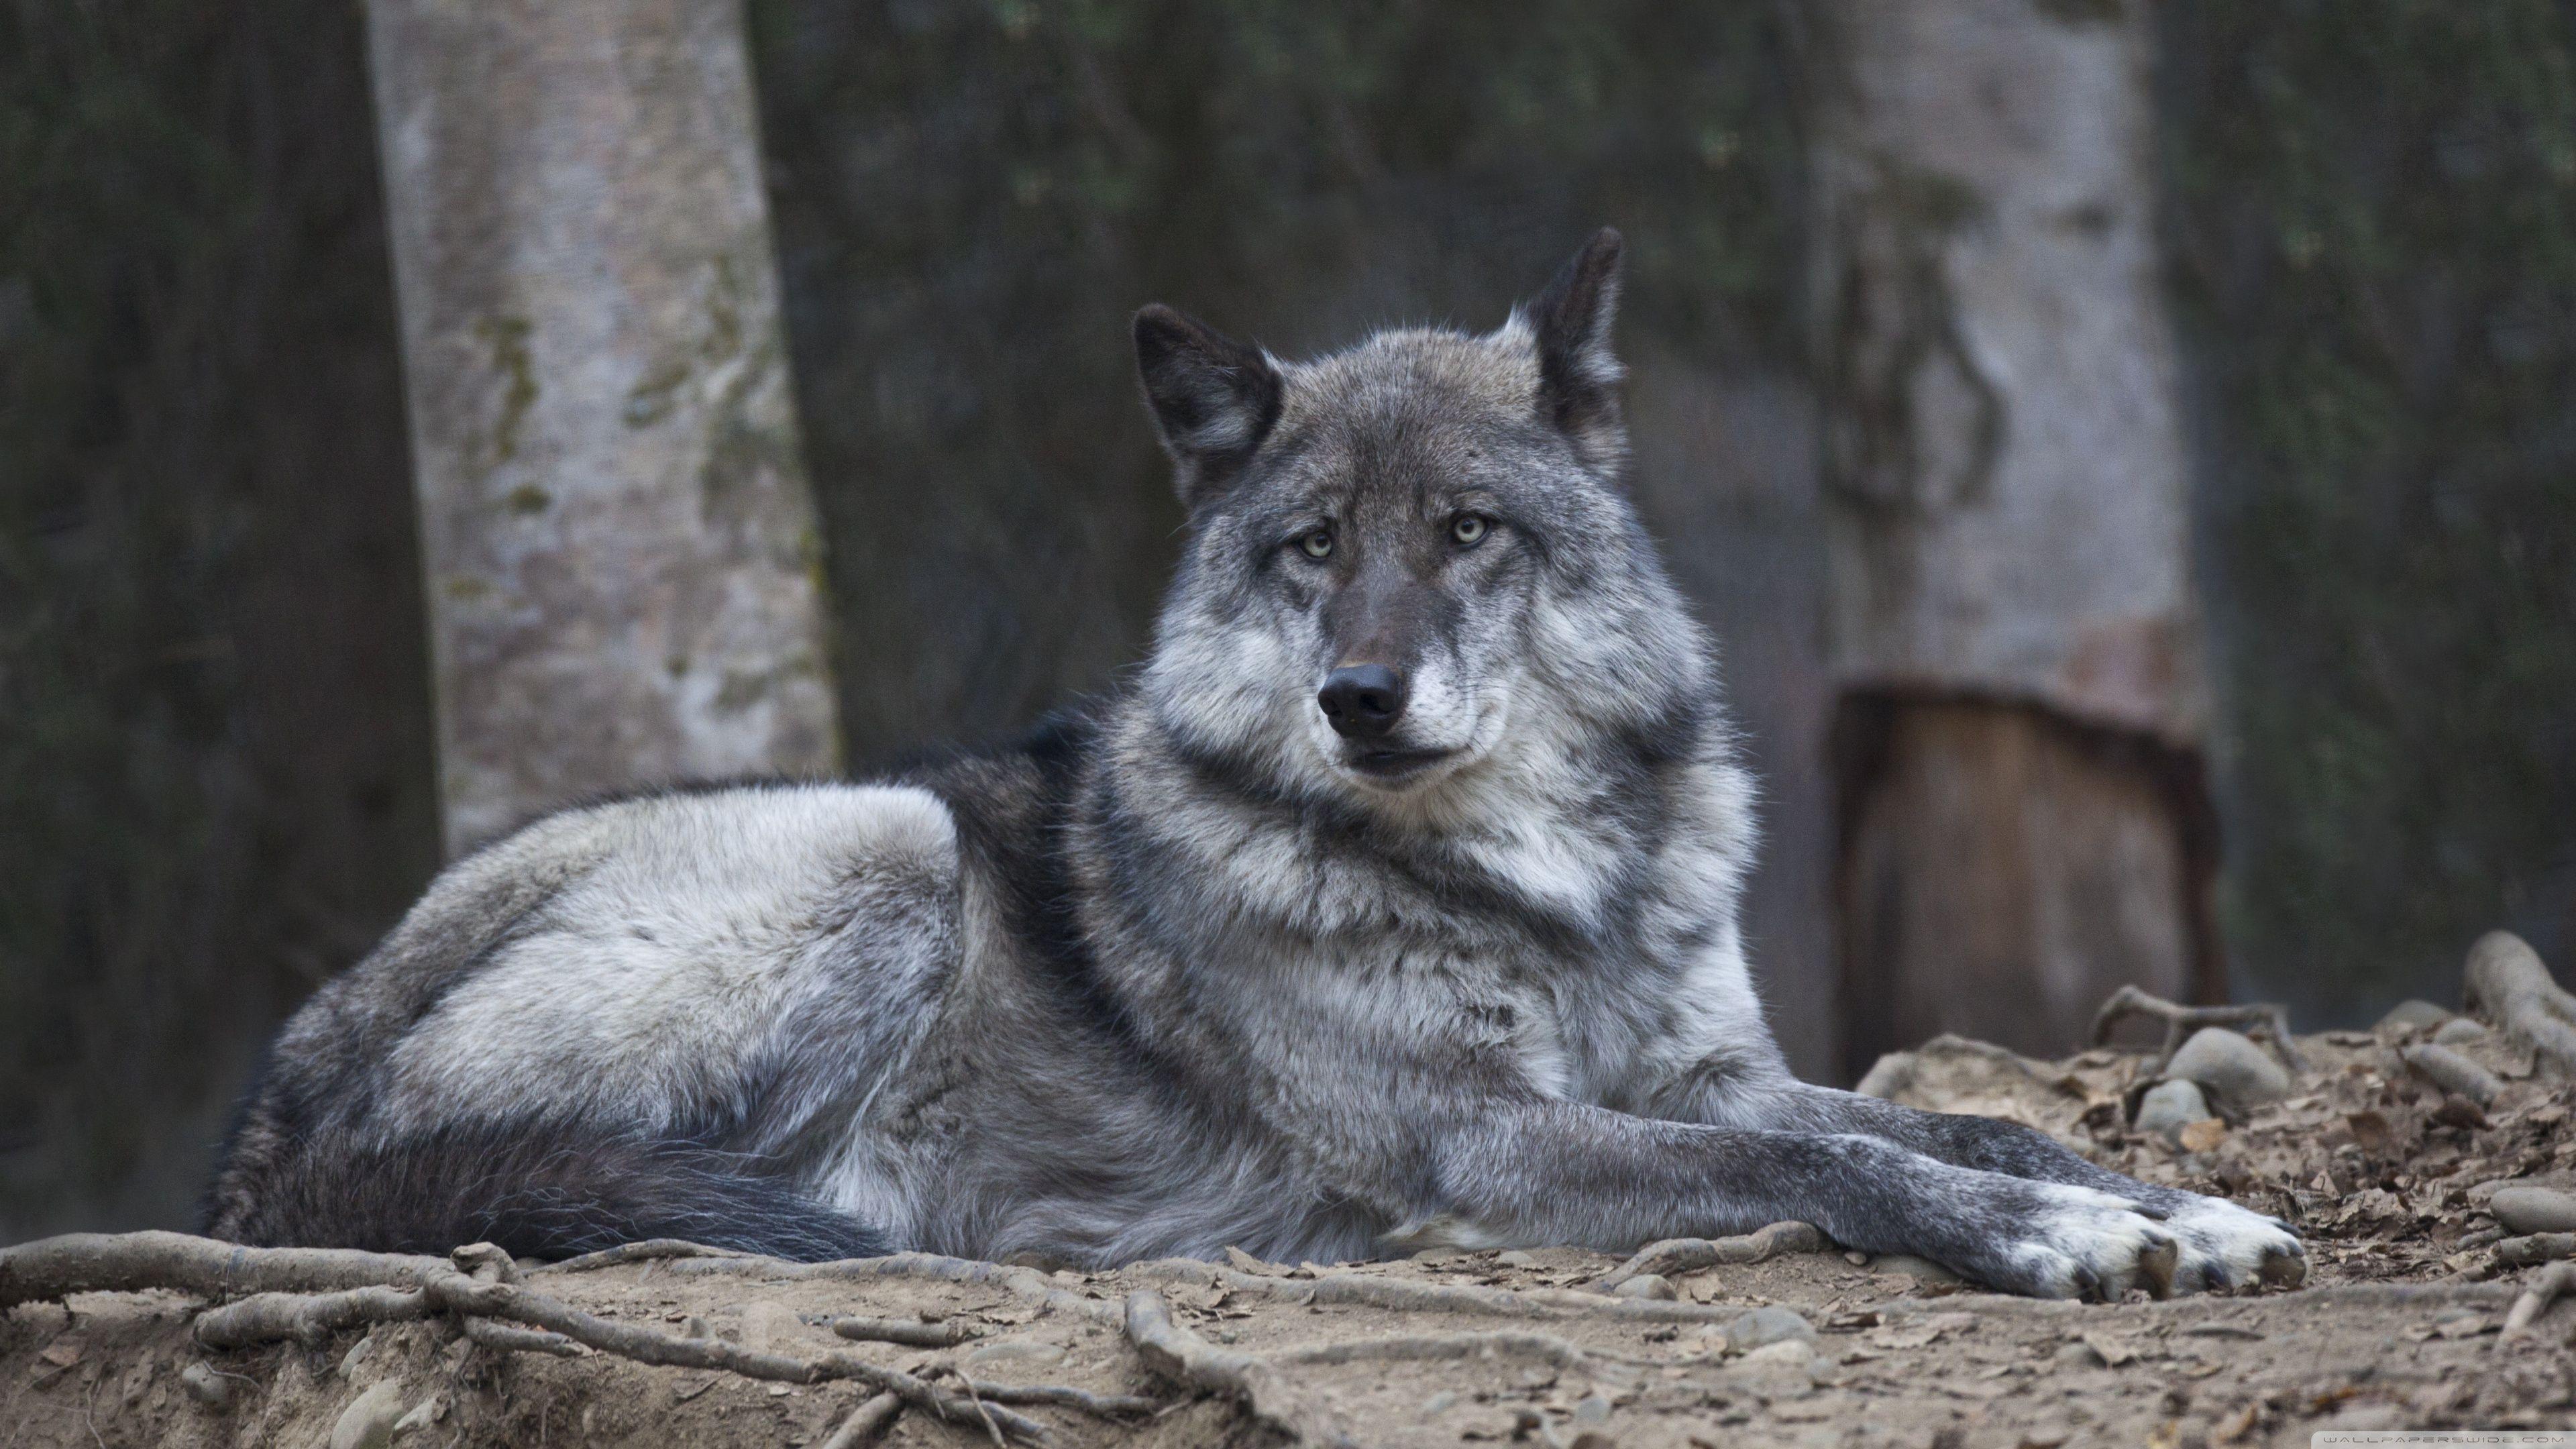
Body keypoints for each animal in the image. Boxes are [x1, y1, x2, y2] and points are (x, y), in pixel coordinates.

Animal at [206, 231, 2301, 1299]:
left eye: (1465, 532)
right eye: (1311, 546)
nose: (1360, 696)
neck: (1540, 885)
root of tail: (259, 1131)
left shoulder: (1707, 1068)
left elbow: (1951, 1119)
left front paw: (2164, 1204)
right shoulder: (1485, 1136)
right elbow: (1844, 1165)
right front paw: (2061, 1236)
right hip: (882, 837)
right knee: (583, 1184)